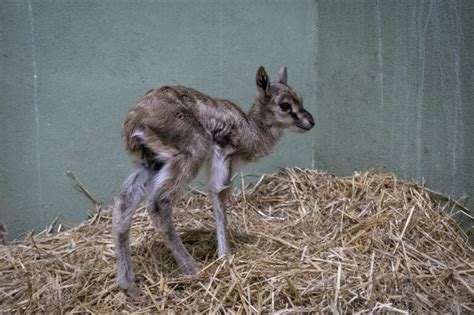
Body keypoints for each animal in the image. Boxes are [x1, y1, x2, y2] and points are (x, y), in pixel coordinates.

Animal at [112, 66, 314, 296]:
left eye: (300, 98)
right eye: (285, 105)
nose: (310, 121)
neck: (249, 129)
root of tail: (134, 120)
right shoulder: (223, 161)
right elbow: (219, 196)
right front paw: (225, 258)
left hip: (151, 164)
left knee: (124, 201)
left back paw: (129, 286)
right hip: (191, 154)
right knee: (159, 203)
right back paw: (192, 269)